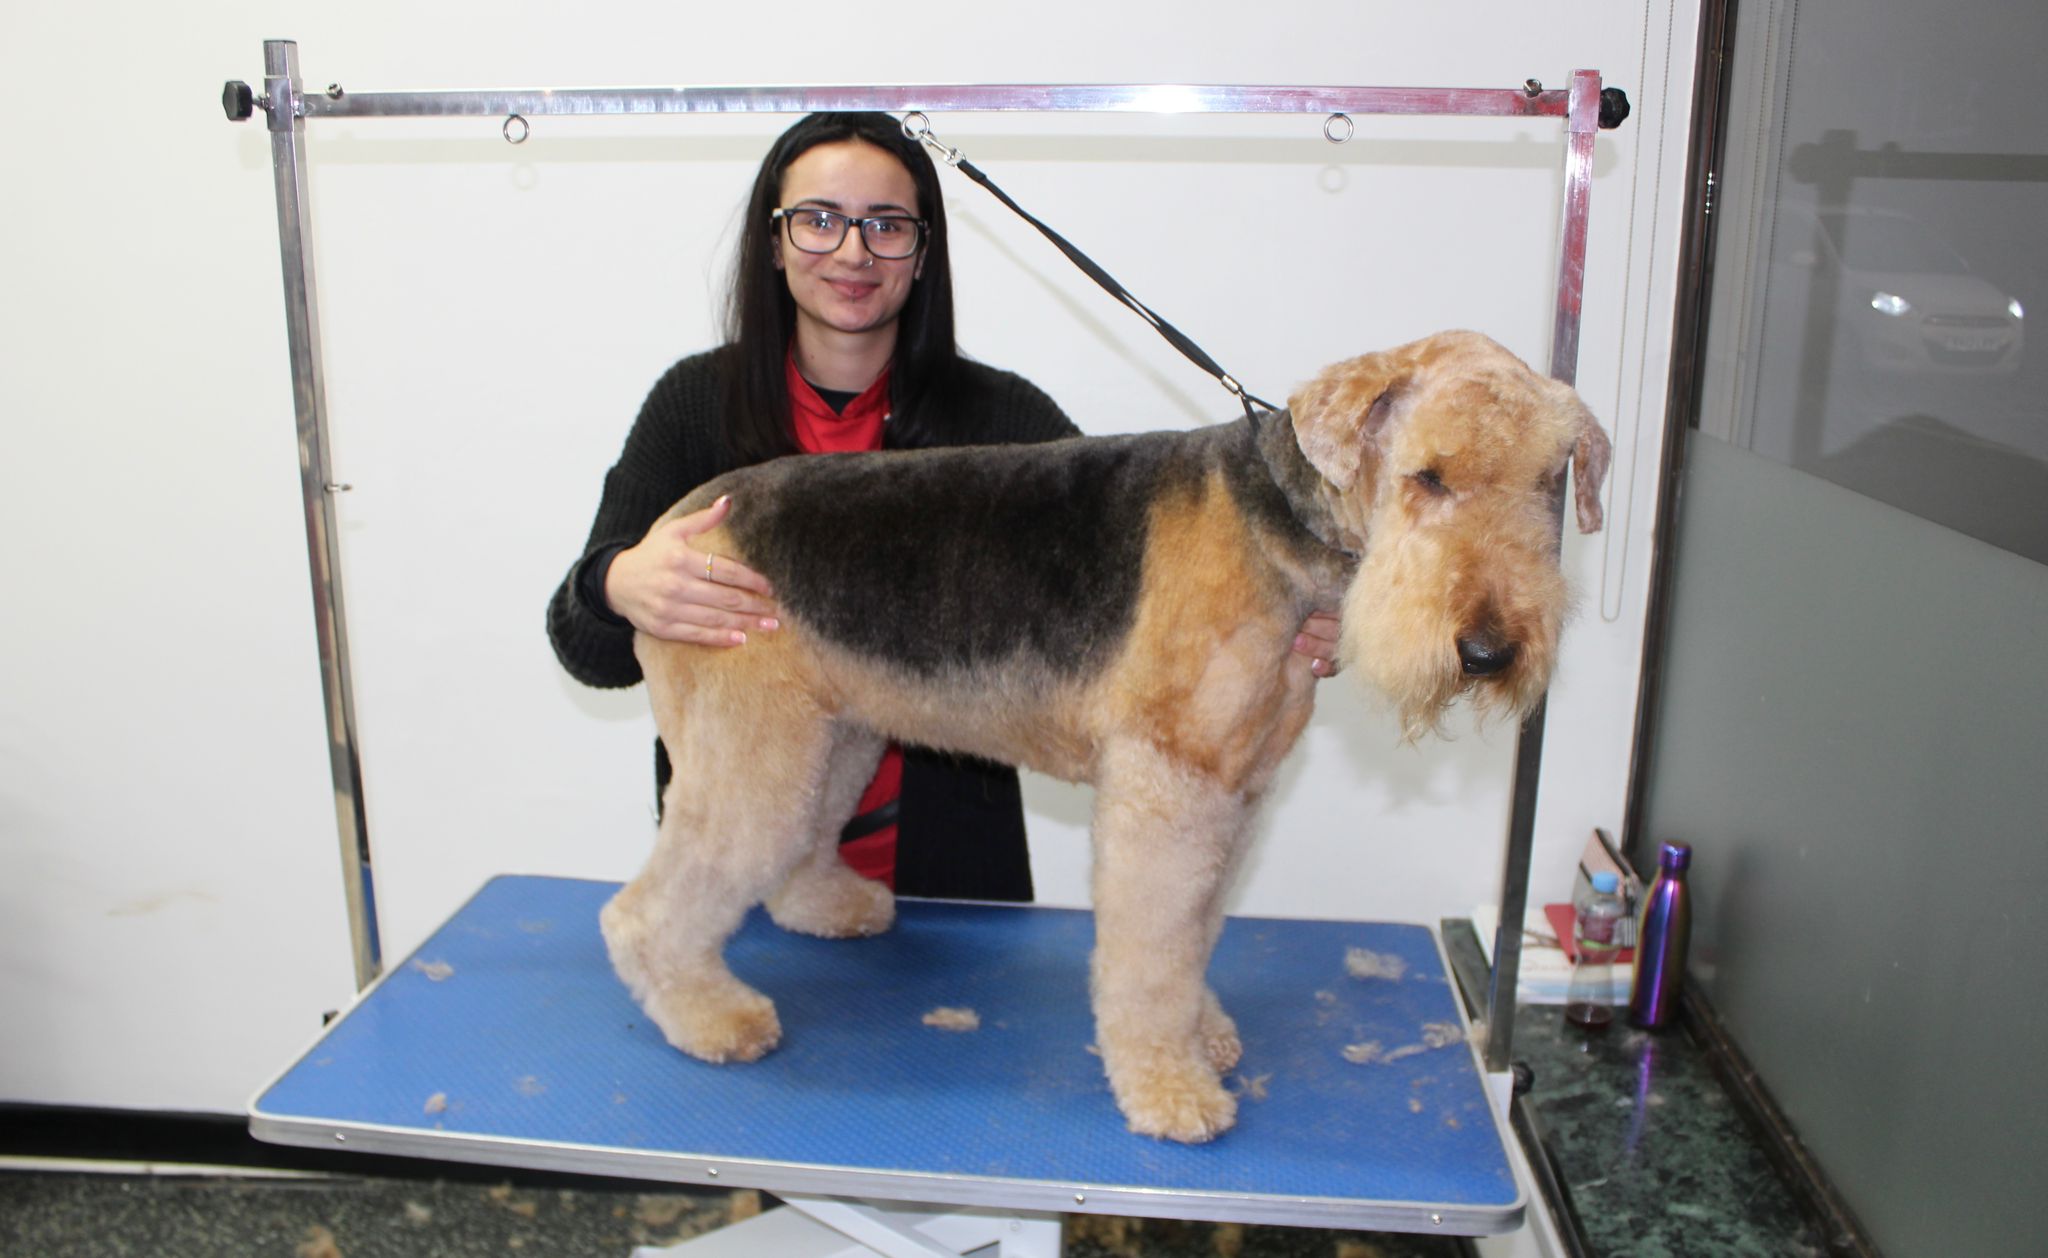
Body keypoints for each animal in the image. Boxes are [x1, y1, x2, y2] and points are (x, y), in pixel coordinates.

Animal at [598, 329, 1605, 1147]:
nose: (1488, 650)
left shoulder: (1233, 789)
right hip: (752, 747)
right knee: (645, 908)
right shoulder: (1169, 785)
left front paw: (1204, 1036)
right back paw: (710, 1017)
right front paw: (1171, 1091)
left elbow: (1194, 937)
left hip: (830, 736)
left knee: (792, 848)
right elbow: (1151, 953)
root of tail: (674, 523)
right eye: (1429, 476)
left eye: (1548, 483)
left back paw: (826, 907)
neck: (1281, 525)